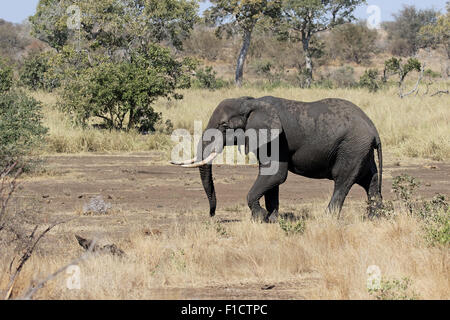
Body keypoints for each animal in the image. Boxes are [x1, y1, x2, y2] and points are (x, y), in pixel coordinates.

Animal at [171, 96, 382, 222]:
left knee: (342, 180)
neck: (250, 102)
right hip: (360, 150)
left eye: (224, 126)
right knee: (370, 181)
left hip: (352, 147)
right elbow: (271, 177)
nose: (212, 215)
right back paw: (375, 218)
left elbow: (276, 175)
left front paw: (261, 218)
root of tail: (373, 127)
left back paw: (327, 219)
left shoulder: (276, 138)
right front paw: (271, 220)